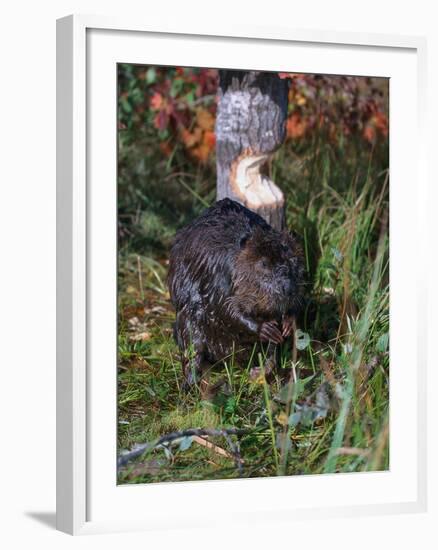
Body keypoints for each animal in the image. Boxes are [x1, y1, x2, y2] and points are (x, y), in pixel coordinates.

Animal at [167, 198, 304, 388]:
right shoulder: (219, 274)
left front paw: (287, 324)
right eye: (263, 263)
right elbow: (224, 307)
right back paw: (191, 383)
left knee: (271, 352)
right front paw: (265, 328)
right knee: (193, 346)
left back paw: (259, 372)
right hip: (187, 322)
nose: (287, 289)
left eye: (293, 260)